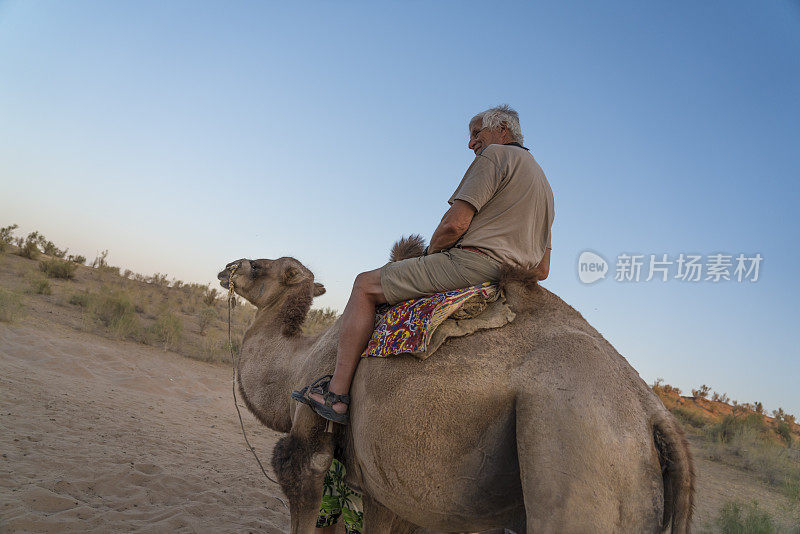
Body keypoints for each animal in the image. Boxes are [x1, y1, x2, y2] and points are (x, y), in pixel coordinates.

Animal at [219, 244, 692, 534]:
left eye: (266, 266)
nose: (229, 266)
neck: (297, 363)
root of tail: (655, 415)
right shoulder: (388, 485)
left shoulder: (312, 444)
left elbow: (306, 483)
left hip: (578, 451)